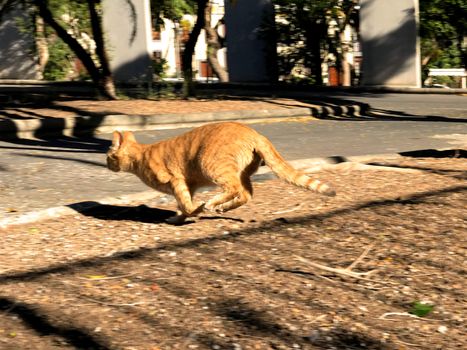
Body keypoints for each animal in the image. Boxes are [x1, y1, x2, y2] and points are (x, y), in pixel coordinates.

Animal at [108, 121, 334, 223]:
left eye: (109, 155)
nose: (107, 164)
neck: (141, 155)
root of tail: (255, 133)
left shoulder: (176, 180)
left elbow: (186, 203)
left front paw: (194, 211)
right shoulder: (188, 185)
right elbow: (184, 204)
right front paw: (182, 217)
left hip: (213, 167)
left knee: (234, 189)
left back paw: (212, 204)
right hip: (242, 173)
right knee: (246, 194)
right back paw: (222, 208)